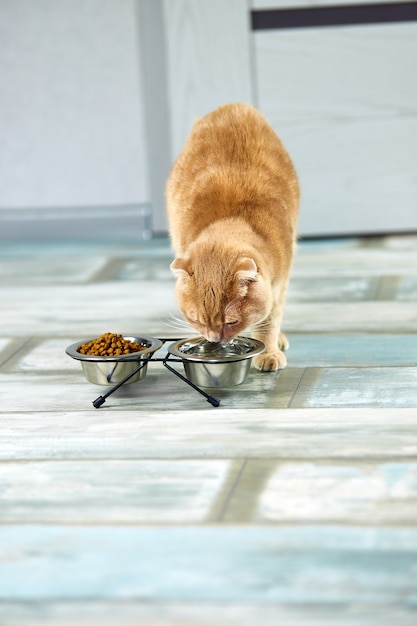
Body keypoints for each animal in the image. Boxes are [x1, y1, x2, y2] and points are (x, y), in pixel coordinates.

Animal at [166, 100, 300, 368]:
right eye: (198, 320)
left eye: (231, 322)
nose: (214, 340)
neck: (231, 219)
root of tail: (234, 106)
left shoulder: (280, 282)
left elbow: (270, 318)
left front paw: (268, 351)